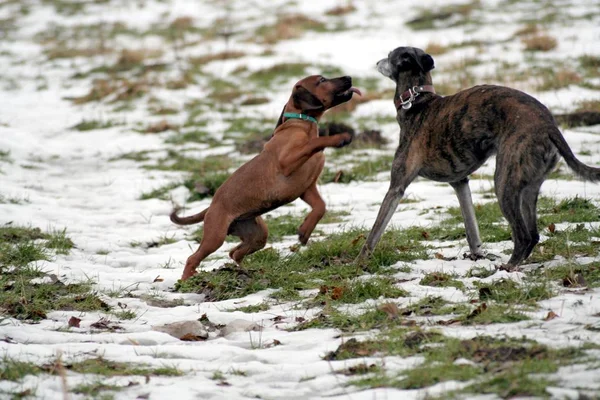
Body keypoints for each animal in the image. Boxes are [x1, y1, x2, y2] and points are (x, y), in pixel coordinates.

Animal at [172, 76, 360, 282]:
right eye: (322, 80)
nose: (349, 78)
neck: (302, 123)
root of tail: (210, 207)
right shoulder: (288, 161)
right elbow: (315, 143)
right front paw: (339, 138)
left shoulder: (307, 188)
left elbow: (321, 206)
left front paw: (305, 231)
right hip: (215, 235)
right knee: (193, 258)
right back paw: (186, 281)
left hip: (257, 234)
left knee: (234, 253)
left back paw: (244, 271)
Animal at [358, 47, 600, 270]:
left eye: (390, 55)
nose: (377, 62)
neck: (417, 101)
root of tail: (549, 124)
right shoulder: (460, 183)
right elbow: (471, 228)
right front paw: (477, 255)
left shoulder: (396, 187)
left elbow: (374, 233)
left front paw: (359, 263)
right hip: (529, 187)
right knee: (533, 235)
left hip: (504, 182)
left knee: (523, 236)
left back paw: (508, 267)